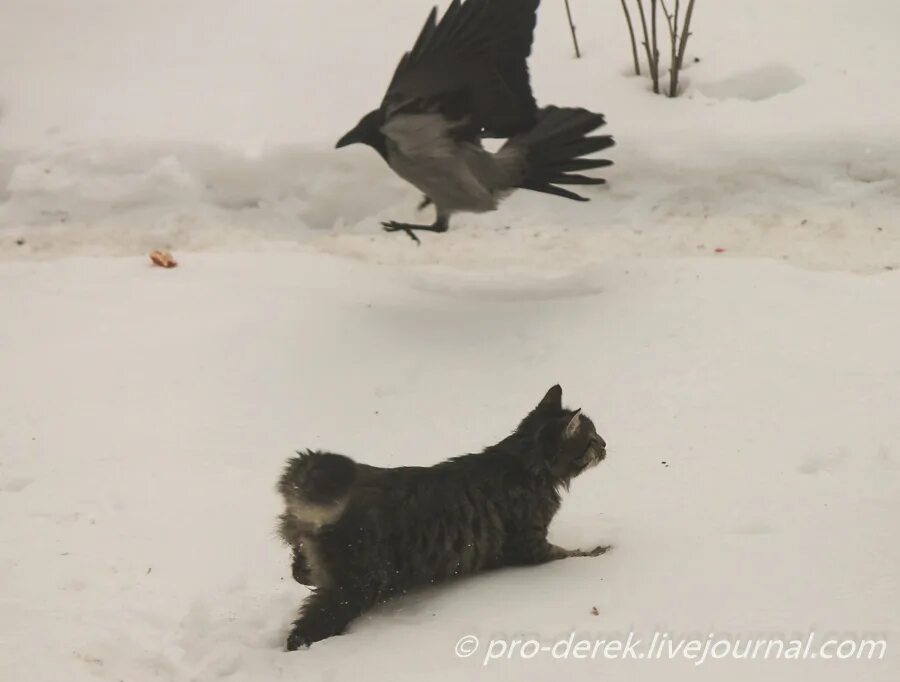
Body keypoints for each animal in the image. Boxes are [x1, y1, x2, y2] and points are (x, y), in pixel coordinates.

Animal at [278, 382, 608, 648]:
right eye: (592, 439)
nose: (606, 444)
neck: (523, 461)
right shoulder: (530, 545)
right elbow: (571, 554)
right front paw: (602, 551)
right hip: (356, 587)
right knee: (304, 630)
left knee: (299, 573)